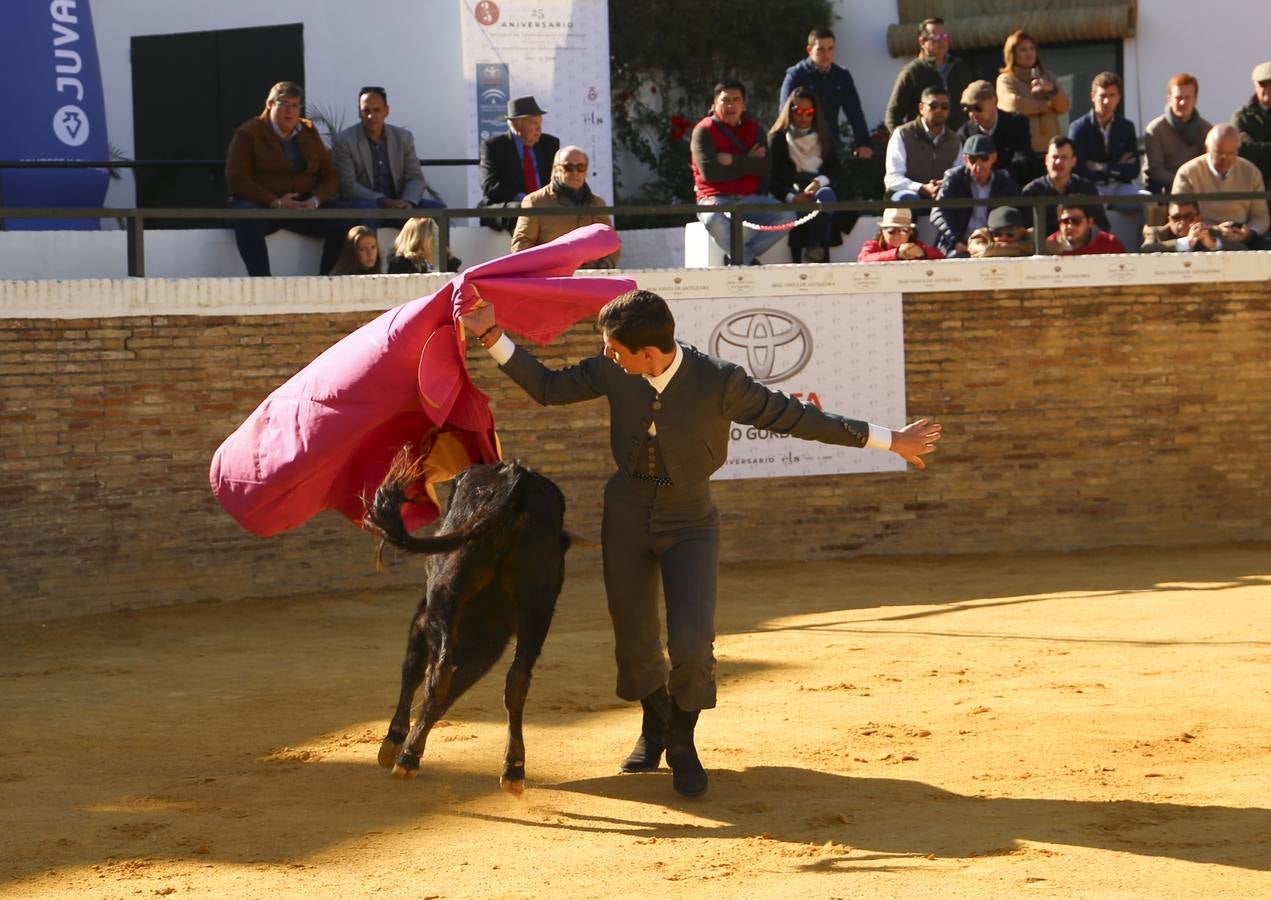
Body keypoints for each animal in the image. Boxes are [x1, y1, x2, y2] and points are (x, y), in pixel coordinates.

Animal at [360, 457, 574, 793]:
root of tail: (516, 484)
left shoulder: (424, 623)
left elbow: (415, 673)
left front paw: (395, 741)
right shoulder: (488, 650)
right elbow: (454, 690)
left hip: (445, 595)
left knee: (438, 673)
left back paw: (407, 759)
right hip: (538, 609)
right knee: (517, 681)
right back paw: (513, 768)